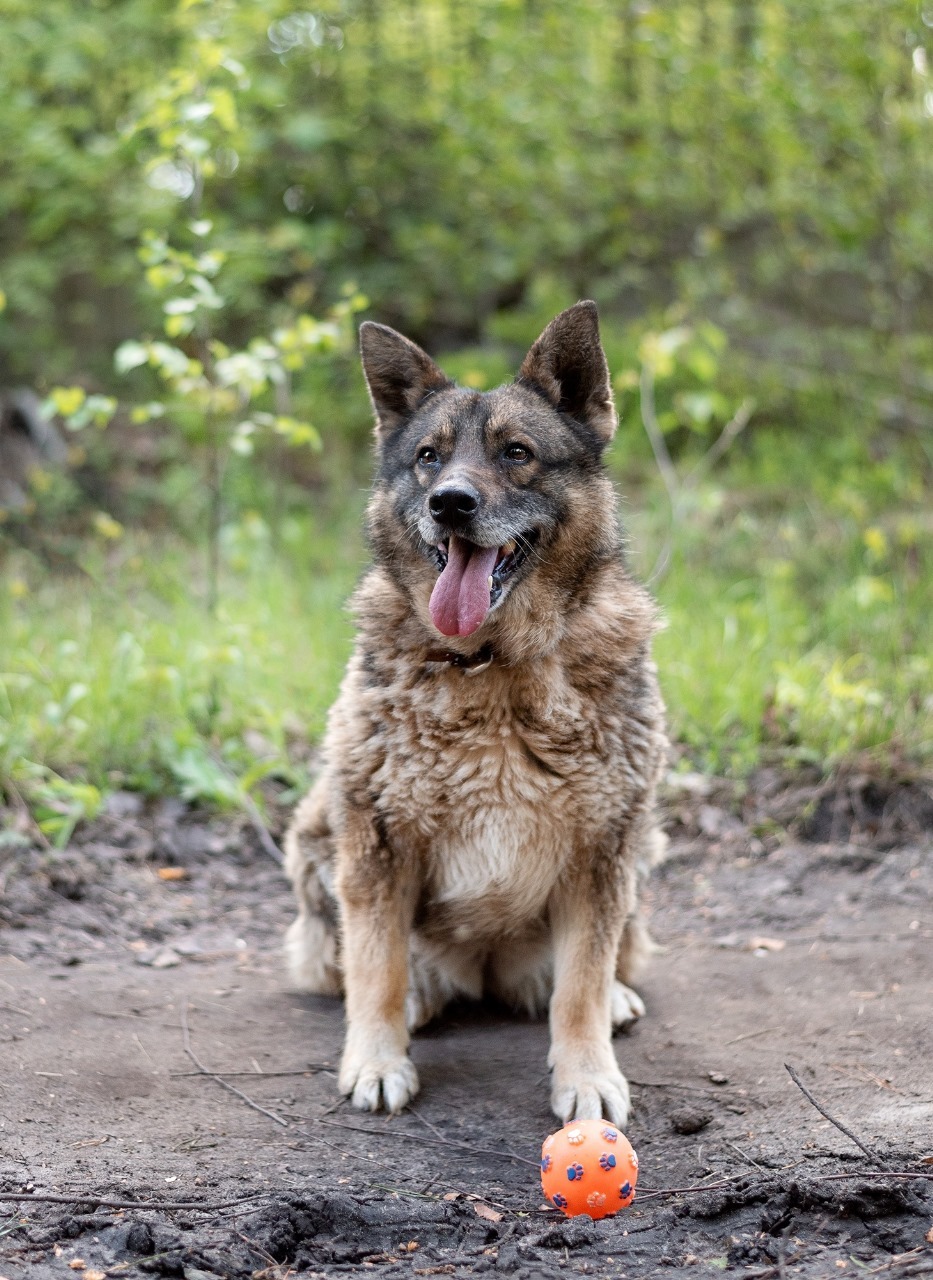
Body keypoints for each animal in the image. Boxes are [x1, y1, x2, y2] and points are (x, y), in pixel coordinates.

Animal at [280, 299, 665, 1121]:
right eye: (428, 457)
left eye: (517, 453)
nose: (450, 504)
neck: (493, 664)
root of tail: (484, 968)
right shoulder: (375, 838)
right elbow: (375, 965)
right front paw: (376, 1058)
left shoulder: (602, 849)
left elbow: (581, 986)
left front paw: (587, 1075)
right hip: (316, 829)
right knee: (370, 963)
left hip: (642, 846)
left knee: (592, 969)